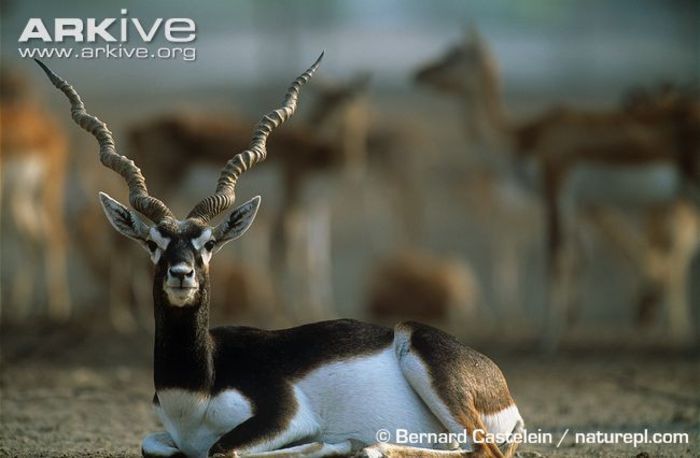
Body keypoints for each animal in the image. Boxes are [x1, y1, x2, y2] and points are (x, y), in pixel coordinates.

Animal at [35, 54, 524, 458]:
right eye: (154, 243)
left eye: (208, 243)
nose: (181, 274)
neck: (198, 383)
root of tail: (499, 382)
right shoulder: (165, 436)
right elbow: (153, 444)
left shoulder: (283, 414)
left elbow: (222, 449)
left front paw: (330, 444)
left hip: (426, 363)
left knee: (480, 451)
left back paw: (365, 446)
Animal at [412, 27, 700, 350]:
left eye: (455, 53)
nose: (420, 73)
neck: (527, 135)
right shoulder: (567, 205)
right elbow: (569, 257)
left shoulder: (555, 189)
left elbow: (556, 257)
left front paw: (547, 338)